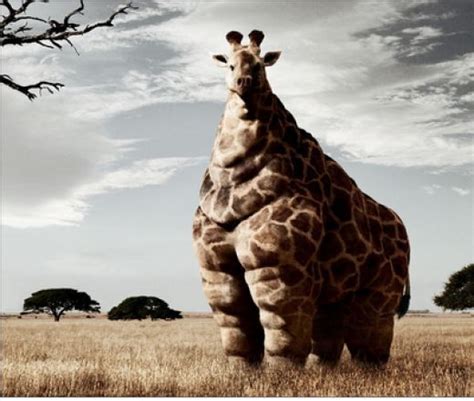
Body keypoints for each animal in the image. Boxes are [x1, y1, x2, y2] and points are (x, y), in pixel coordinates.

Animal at [193, 30, 412, 366]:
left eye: (261, 65)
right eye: (229, 65)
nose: (244, 83)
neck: (232, 183)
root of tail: (404, 230)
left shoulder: (279, 264)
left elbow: (280, 321)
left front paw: (282, 374)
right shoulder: (216, 267)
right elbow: (235, 321)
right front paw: (241, 371)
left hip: (382, 286)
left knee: (371, 328)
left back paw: (367, 370)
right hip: (339, 287)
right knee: (331, 327)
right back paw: (323, 370)